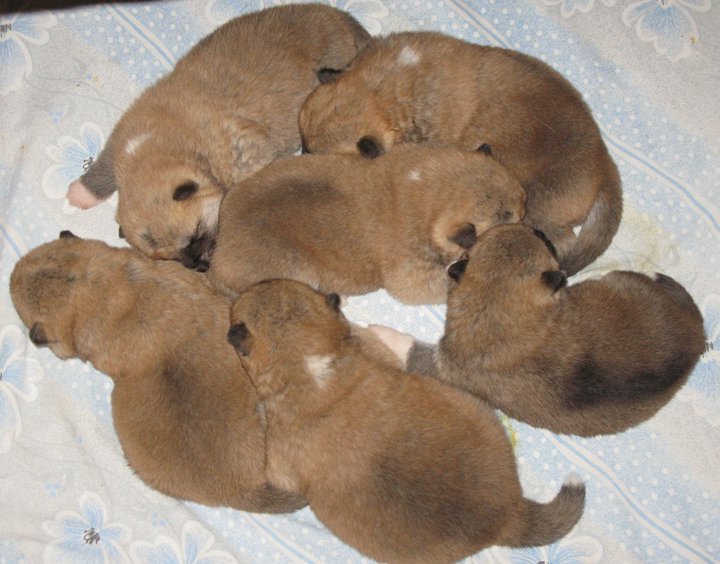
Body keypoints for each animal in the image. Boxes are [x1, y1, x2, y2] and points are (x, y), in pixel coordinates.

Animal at [66, 4, 370, 270]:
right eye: (170, 258)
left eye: (196, 236)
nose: (199, 266)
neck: (159, 145)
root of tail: (339, 17)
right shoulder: (121, 143)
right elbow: (103, 170)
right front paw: (82, 193)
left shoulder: (244, 156)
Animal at [299, 31, 623, 275]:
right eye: (303, 144)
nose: (298, 159)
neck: (383, 87)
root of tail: (606, 167)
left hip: (540, 206)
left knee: (561, 241)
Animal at [371, 224, 706, 437]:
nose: (539, 230)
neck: (498, 304)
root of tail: (697, 334)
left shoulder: (444, 365)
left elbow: (413, 351)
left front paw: (382, 334)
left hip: (624, 282)